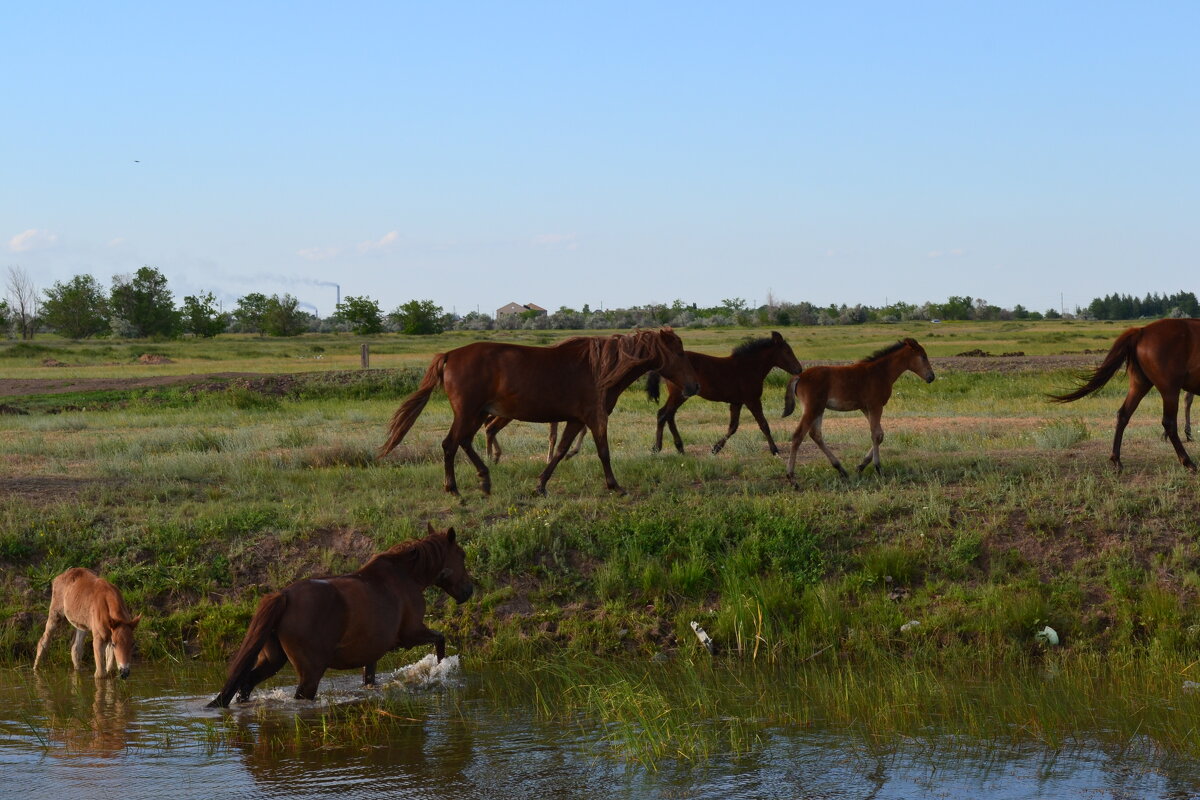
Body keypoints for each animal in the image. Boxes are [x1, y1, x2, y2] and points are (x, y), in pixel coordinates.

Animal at [206, 525, 472, 705]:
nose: (469, 590)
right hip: (310, 672)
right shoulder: (411, 634)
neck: (406, 576)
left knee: (245, 684)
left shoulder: (372, 653)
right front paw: (439, 671)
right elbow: (440, 639)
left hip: (273, 660)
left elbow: (369, 679)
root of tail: (284, 596)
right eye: (462, 555)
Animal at [379, 326, 700, 494]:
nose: (694, 385)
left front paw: (541, 485)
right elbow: (603, 451)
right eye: (679, 352)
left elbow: (560, 451)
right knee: (450, 444)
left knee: (465, 442)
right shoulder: (595, 417)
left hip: (478, 414)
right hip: (469, 412)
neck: (600, 369)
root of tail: (449, 355)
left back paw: (484, 478)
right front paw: (614, 485)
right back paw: (453, 488)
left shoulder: (576, 419)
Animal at [648, 331, 806, 455]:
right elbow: (763, 424)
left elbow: (733, 427)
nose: (799, 369)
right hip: (679, 395)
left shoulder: (737, 402)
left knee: (668, 415)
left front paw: (716, 448)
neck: (749, 367)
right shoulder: (752, 400)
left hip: (680, 395)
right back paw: (658, 448)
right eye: (787, 351)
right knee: (663, 415)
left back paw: (679, 448)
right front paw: (774, 450)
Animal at [782, 338, 940, 482]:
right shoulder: (875, 406)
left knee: (816, 434)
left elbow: (879, 434)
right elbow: (876, 435)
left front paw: (861, 466)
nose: (931, 376)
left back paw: (841, 469)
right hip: (812, 408)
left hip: (819, 409)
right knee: (798, 435)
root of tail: (799, 376)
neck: (881, 372)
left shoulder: (866, 408)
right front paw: (878, 468)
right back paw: (791, 477)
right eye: (923, 356)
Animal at [1051, 316, 1200, 472]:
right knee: (1169, 422)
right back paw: (1187, 462)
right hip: (1169, 389)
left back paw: (1116, 460)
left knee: (1123, 414)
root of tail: (1142, 331)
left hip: (1139, 385)